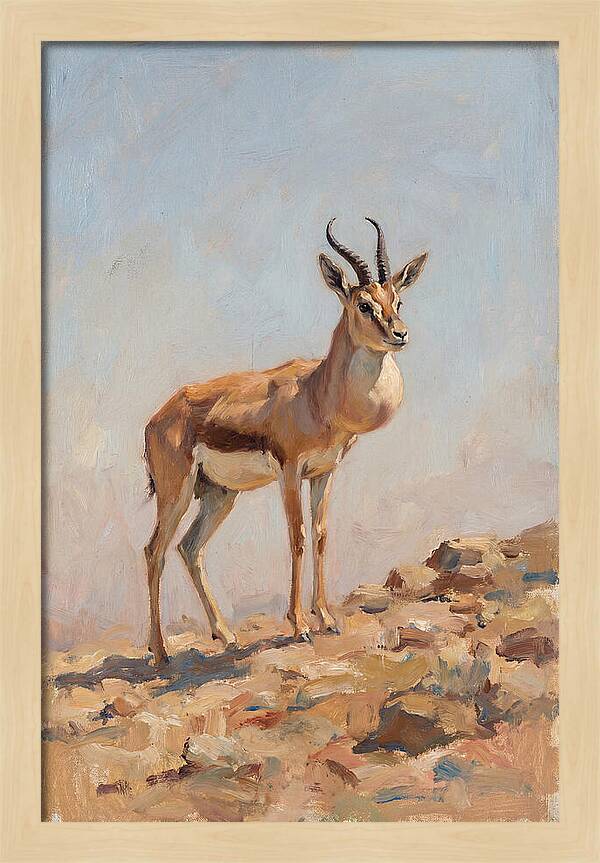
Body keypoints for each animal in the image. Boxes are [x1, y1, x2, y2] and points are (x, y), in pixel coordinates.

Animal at [143, 218, 428, 664]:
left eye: (397, 299)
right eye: (364, 304)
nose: (400, 334)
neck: (317, 394)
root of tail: (158, 418)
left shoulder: (325, 472)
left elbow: (322, 535)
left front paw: (326, 618)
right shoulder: (290, 472)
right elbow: (297, 537)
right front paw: (299, 625)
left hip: (219, 494)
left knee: (189, 548)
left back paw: (226, 636)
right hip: (176, 492)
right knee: (154, 551)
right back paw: (160, 653)